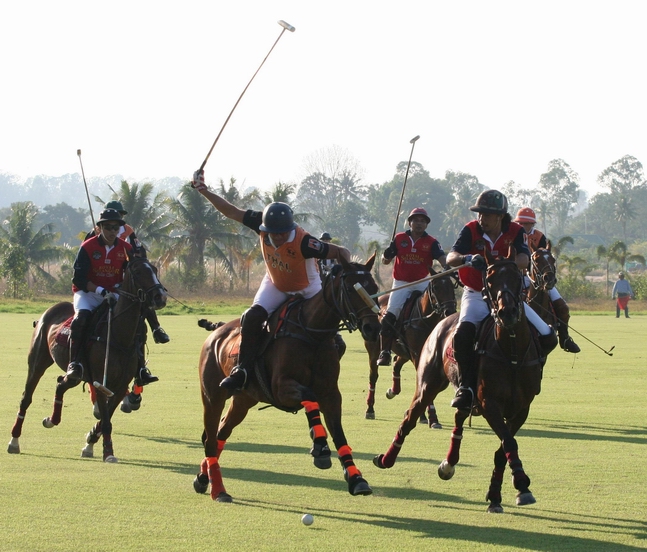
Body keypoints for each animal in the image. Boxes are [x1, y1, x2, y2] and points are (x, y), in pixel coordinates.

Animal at [7, 258, 167, 462]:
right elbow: (105, 420)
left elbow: (106, 417)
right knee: (26, 398)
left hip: (77, 375)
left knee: (61, 383)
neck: (118, 336)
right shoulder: (100, 381)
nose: (160, 297)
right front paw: (108, 452)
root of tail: (50, 310)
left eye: (155, 269)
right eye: (138, 272)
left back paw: (51, 420)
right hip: (37, 362)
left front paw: (90, 442)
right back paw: (14, 441)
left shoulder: (120, 385)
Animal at [195, 253, 382, 500]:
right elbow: (309, 395)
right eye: (352, 289)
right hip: (213, 396)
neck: (312, 333)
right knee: (209, 437)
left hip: (244, 399)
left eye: (375, 288)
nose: (373, 329)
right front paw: (321, 447)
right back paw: (218, 490)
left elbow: (339, 433)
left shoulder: (331, 393)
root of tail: (218, 330)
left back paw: (202, 478)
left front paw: (356, 479)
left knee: (220, 433)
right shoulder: (281, 388)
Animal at [362, 270, 458, 424]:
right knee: (373, 376)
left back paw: (392, 391)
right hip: (373, 350)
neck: (425, 320)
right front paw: (430, 416)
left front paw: (426, 416)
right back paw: (370, 409)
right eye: (436, 287)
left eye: (451, 286)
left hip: (404, 352)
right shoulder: (417, 355)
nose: (449, 311)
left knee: (396, 363)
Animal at [374, 248, 552, 516]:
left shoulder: (521, 409)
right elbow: (508, 442)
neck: (511, 351)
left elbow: (503, 448)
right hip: (428, 381)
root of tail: (443, 321)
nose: (507, 313)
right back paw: (387, 458)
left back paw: (448, 462)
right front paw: (521, 482)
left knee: (459, 413)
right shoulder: (489, 404)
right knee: (410, 416)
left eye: (516, 278)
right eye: (490, 280)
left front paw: (499, 495)